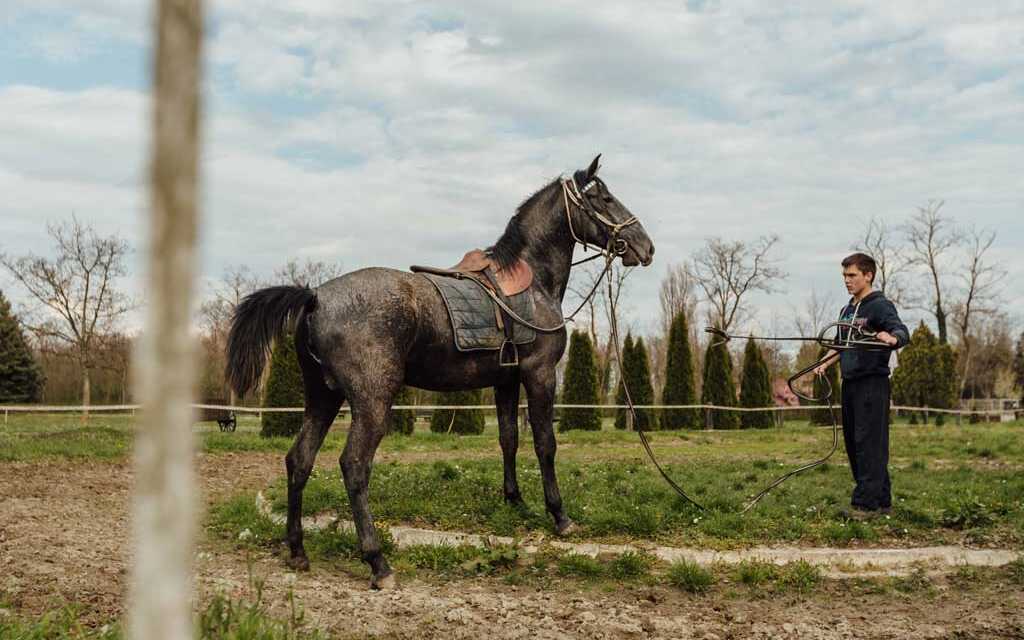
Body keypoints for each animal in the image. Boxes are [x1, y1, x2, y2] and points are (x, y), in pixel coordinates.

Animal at [225, 155, 655, 589]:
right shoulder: (540, 375)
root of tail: (315, 296)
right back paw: (378, 562)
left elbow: (509, 440)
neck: (531, 283)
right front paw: (560, 516)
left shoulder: (506, 382)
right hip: (372, 402)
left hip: (323, 397)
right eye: (604, 197)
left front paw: (515, 501)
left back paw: (298, 551)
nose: (646, 247)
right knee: (354, 466)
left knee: (299, 460)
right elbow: (545, 444)